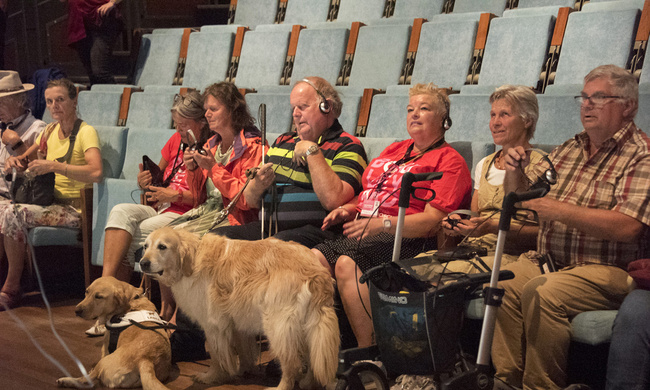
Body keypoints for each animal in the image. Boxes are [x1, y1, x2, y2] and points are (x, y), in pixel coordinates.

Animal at [140, 227, 340, 390]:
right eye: (145, 246)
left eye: (162, 247)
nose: (142, 263)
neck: (192, 259)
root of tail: (316, 272)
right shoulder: (236, 323)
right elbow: (244, 351)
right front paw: (243, 370)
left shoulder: (213, 325)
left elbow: (216, 357)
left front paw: (211, 376)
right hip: (307, 328)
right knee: (312, 360)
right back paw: (308, 382)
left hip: (278, 327)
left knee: (292, 365)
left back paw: (281, 386)